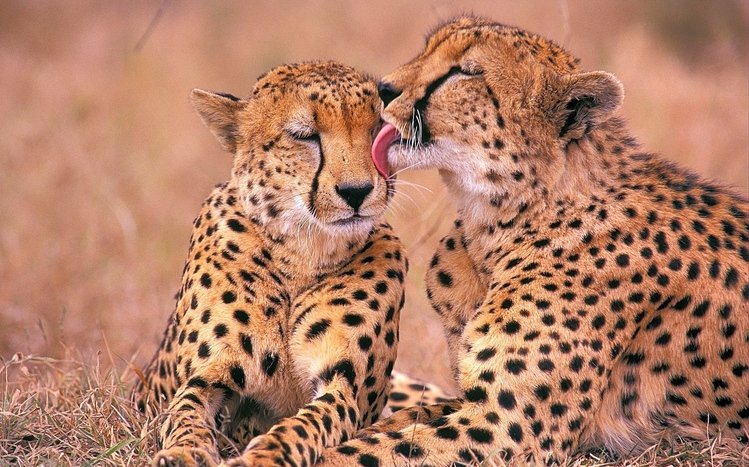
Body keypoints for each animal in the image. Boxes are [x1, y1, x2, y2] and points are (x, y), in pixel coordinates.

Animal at [131, 61, 416, 467]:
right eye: (304, 135)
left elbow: (306, 423)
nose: (357, 191)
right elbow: (185, 412)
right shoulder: (207, 375)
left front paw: (266, 454)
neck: (303, 251)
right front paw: (184, 453)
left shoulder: (346, 386)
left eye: (379, 129)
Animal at [318, 16, 749, 466]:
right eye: (428, 48)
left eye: (465, 72)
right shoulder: (471, 402)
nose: (383, 88)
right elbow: (386, 425)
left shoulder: (507, 428)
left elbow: (360, 451)